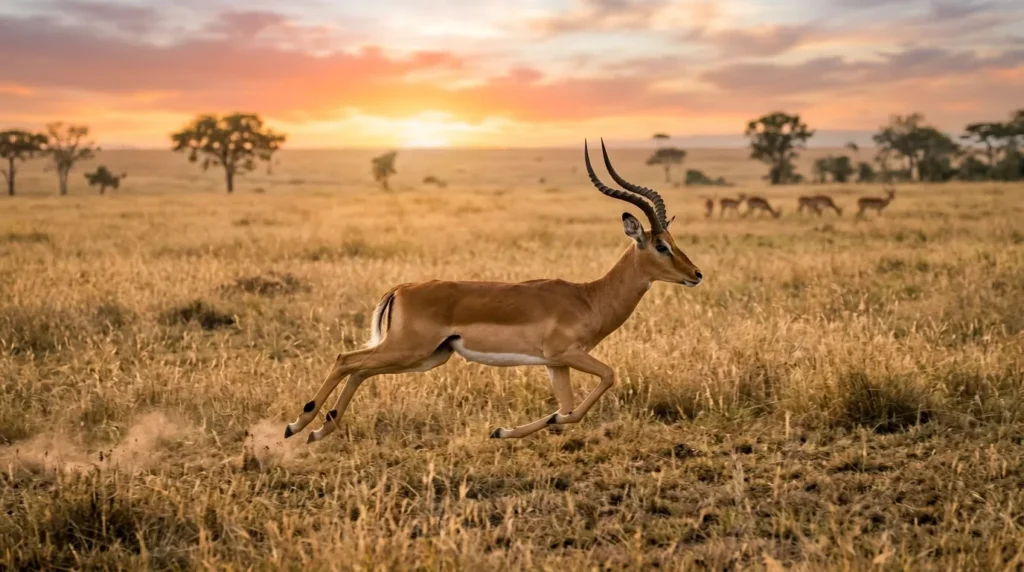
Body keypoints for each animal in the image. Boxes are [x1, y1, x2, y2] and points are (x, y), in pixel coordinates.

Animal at [284, 140, 703, 443]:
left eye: (673, 240)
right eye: (661, 245)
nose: (696, 274)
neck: (589, 297)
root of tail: (402, 288)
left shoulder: (555, 364)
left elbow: (567, 410)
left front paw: (503, 431)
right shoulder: (566, 354)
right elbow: (604, 381)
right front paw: (507, 430)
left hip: (426, 357)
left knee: (360, 369)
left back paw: (320, 429)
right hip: (410, 350)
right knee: (346, 359)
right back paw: (297, 425)